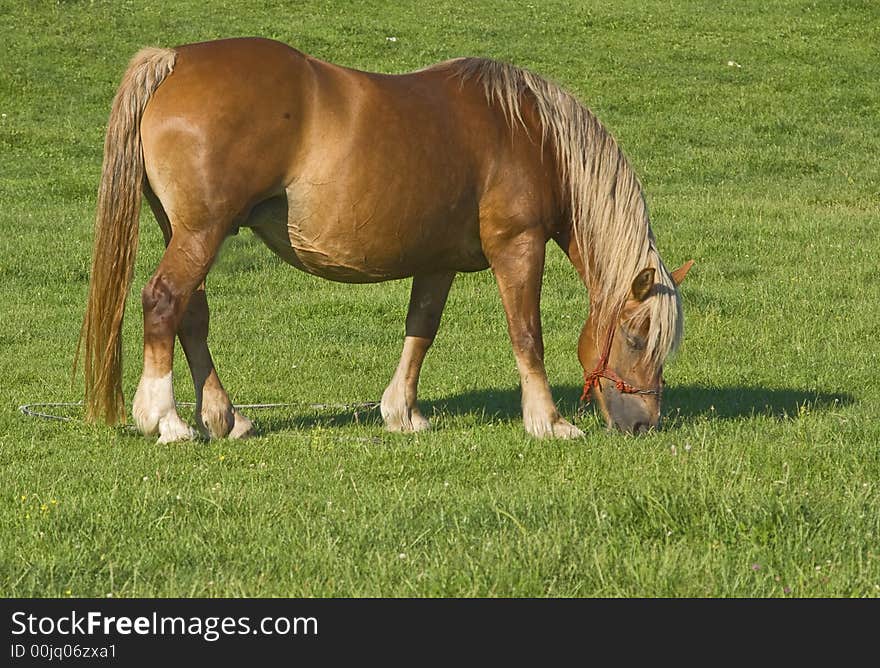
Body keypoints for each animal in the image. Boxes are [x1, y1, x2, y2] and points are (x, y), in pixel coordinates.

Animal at [77, 36, 696, 444]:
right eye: (638, 336)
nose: (644, 423)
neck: (532, 135)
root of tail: (174, 60)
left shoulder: (438, 262)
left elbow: (421, 328)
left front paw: (403, 413)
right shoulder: (518, 247)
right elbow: (527, 334)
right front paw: (548, 421)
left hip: (186, 232)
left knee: (192, 316)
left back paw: (225, 417)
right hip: (201, 234)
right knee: (163, 302)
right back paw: (166, 419)